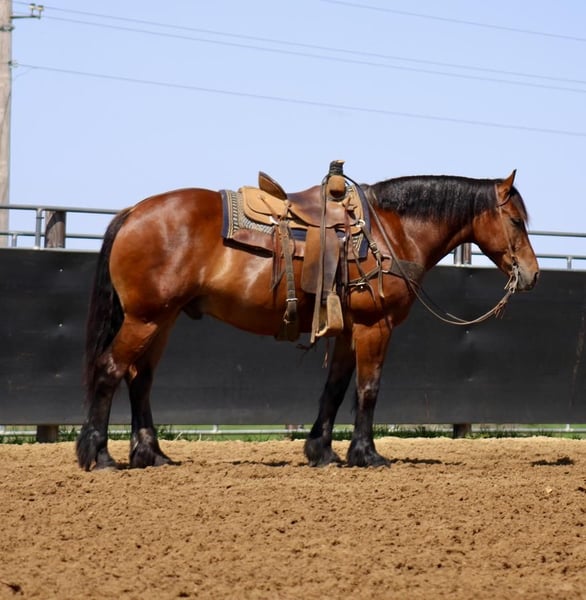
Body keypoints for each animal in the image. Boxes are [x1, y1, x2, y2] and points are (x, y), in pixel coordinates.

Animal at [76, 168, 539, 471]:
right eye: (516, 220)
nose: (532, 274)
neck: (391, 231)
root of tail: (134, 212)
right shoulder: (376, 326)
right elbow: (368, 389)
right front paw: (367, 455)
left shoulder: (349, 330)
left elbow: (334, 388)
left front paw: (322, 451)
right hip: (145, 318)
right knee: (111, 370)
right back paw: (99, 456)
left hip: (162, 319)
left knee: (140, 379)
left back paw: (152, 455)